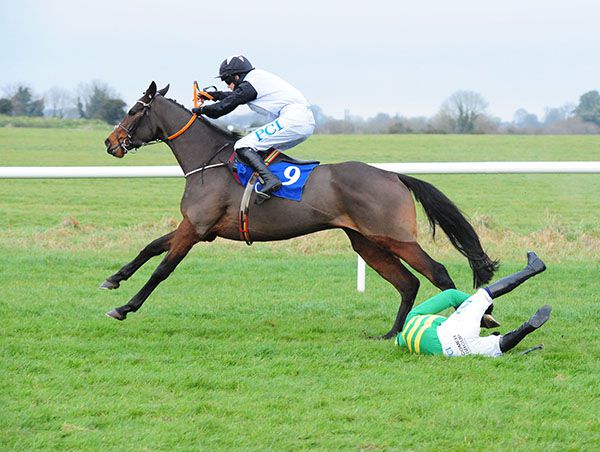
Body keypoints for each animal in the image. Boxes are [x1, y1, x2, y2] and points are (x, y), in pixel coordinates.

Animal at [102, 81, 498, 339]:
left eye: (133, 111)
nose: (109, 143)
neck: (208, 161)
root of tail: (394, 176)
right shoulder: (196, 226)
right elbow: (150, 247)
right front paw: (114, 279)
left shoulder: (196, 228)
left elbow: (162, 270)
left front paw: (125, 307)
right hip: (366, 242)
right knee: (408, 282)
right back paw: (390, 334)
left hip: (394, 237)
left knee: (438, 273)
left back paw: (479, 319)